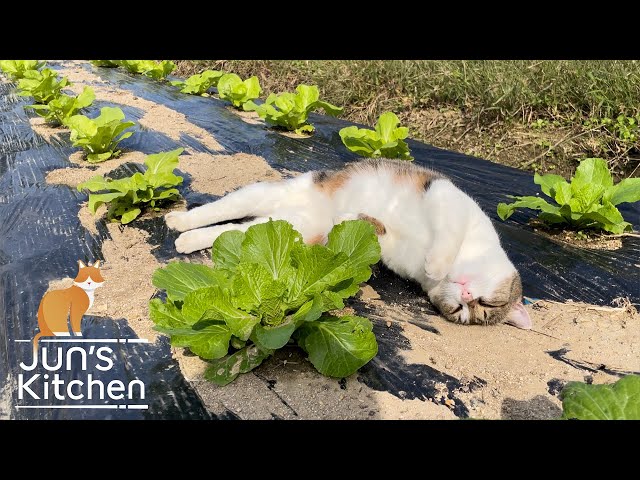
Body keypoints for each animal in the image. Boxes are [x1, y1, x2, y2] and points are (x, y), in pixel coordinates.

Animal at [164, 159, 528, 328]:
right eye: (487, 304)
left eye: (464, 312)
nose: (467, 297)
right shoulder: (444, 195)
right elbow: (447, 235)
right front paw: (436, 263)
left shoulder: (388, 247)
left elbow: (371, 230)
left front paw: (356, 219)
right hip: (262, 193)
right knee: (221, 210)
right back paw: (180, 220)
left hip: (287, 228)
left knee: (230, 232)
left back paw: (186, 238)